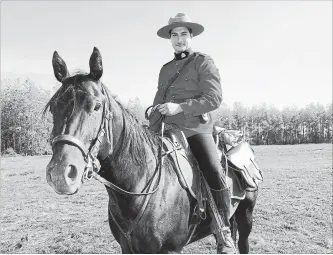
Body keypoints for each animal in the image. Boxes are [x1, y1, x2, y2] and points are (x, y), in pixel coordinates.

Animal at [44, 47, 256, 253]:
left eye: (96, 106)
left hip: (246, 216)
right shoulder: (127, 248)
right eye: (53, 107)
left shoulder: (170, 250)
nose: (60, 174)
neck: (137, 187)